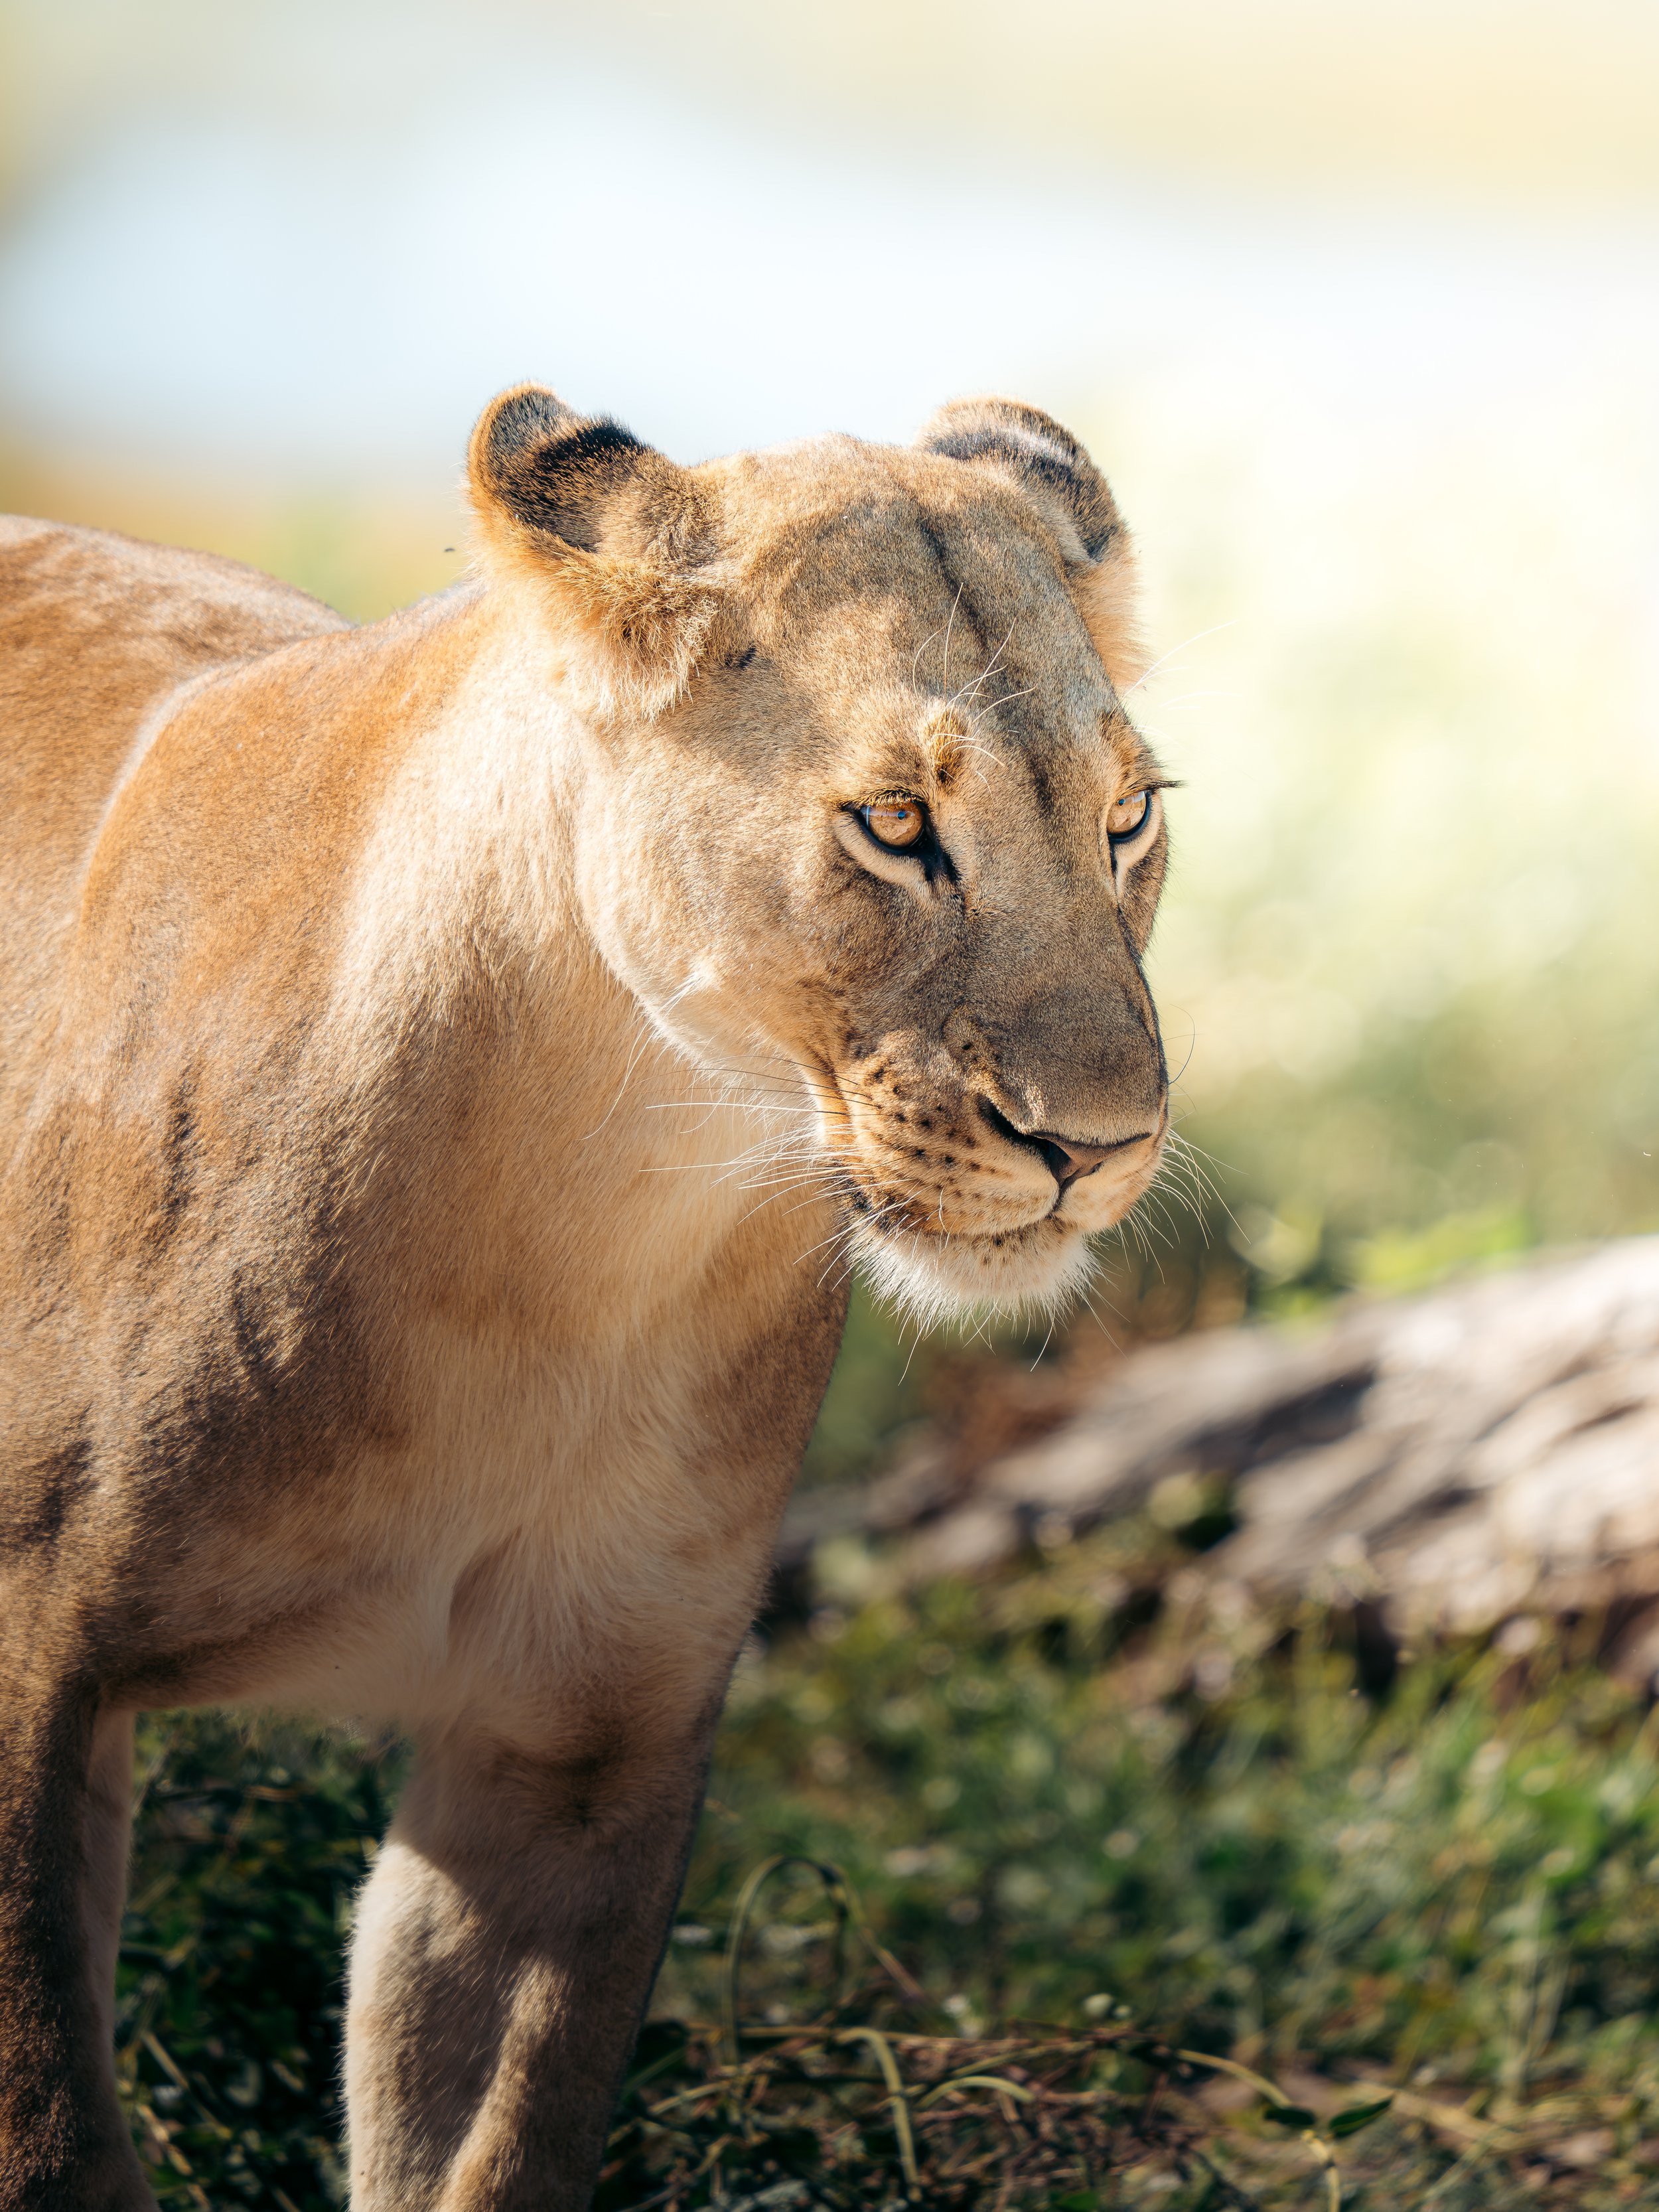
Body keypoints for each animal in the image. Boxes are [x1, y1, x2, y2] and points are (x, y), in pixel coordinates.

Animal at [0, 385, 1170, 2210]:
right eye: (895, 826)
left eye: (1127, 822)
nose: (1100, 1146)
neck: (590, 1222)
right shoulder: (28, 1682)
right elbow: (48, 2114)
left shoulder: (572, 1758)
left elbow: (497, 2137)